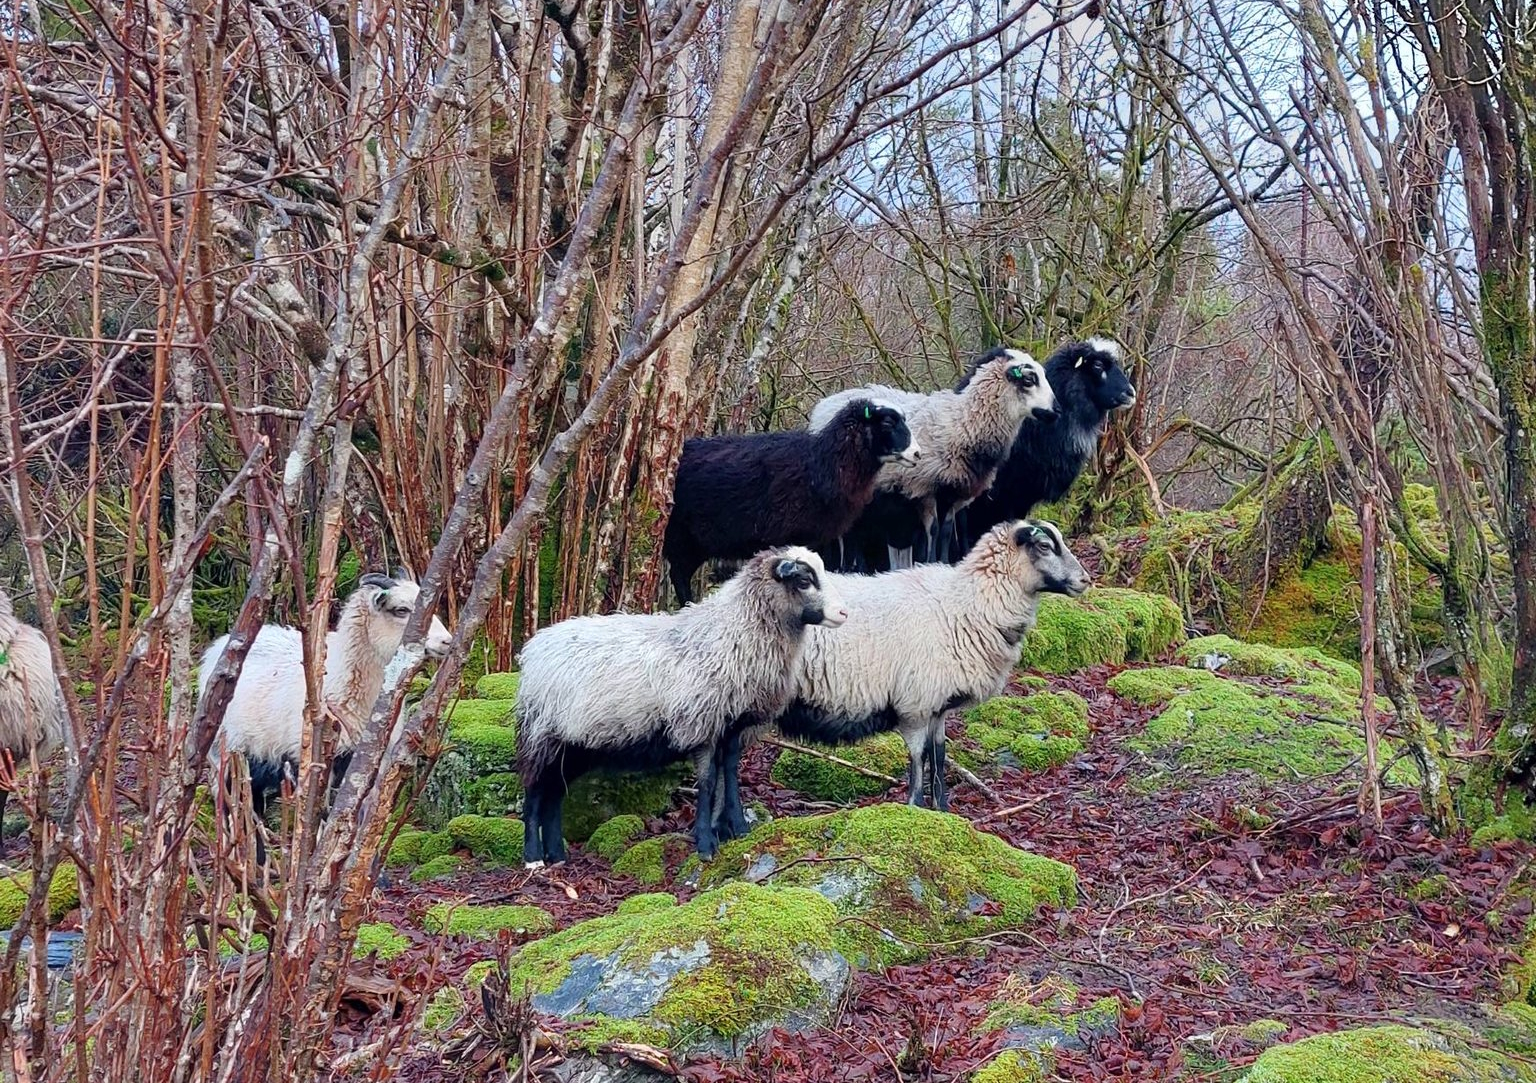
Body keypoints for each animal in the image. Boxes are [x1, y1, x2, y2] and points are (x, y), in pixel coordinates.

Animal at [199, 572, 452, 858]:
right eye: (401, 610)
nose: (447, 642)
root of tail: (219, 645)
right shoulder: (313, 759)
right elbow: (321, 818)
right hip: (224, 753)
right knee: (230, 807)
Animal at [515, 546, 847, 865]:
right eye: (803, 580)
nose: (843, 613)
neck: (734, 633)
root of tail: (535, 646)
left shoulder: (732, 726)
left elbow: (729, 774)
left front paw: (736, 829)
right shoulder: (701, 722)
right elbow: (707, 781)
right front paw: (705, 843)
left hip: (575, 745)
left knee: (554, 795)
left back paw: (557, 856)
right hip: (542, 734)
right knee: (534, 794)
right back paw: (533, 858)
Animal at [664, 398, 920, 605]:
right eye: (887, 422)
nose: (917, 454)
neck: (822, 463)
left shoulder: (820, 540)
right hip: (681, 535)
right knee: (679, 574)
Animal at [710, 520, 1088, 835]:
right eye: (1044, 546)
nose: (1085, 580)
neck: (967, 606)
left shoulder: (937, 705)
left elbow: (939, 757)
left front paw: (943, 812)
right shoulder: (916, 704)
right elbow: (918, 761)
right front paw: (915, 810)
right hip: (746, 696)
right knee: (728, 758)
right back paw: (735, 826)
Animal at [808, 348, 1058, 572]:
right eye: (1029, 379)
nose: (1056, 412)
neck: (962, 424)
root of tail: (824, 405)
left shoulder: (954, 493)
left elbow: (946, 531)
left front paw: (944, 562)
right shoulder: (924, 488)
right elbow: (934, 530)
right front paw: (929, 562)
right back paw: (848, 567)